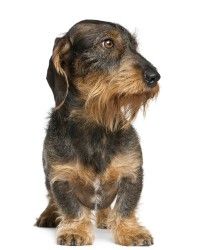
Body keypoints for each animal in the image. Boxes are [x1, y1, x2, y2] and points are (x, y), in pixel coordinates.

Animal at [35, 19, 161, 246]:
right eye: (108, 43)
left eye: (135, 46)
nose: (154, 77)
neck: (97, 125)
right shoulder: (61, 177)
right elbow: (72, 208)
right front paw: (75, 230)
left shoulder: (132, 173)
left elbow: (125, 207)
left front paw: (130, 231)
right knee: (51, 199)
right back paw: (49, 214)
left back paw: (105, 218)